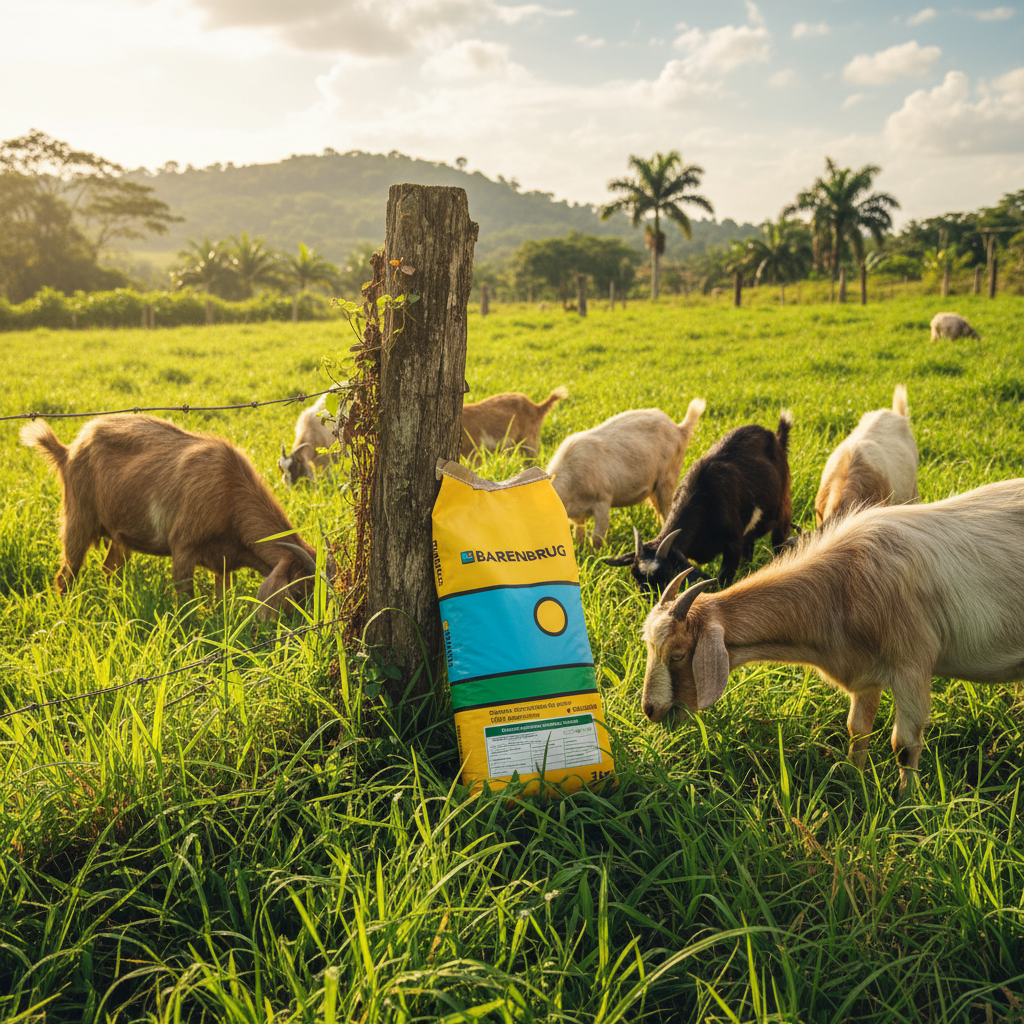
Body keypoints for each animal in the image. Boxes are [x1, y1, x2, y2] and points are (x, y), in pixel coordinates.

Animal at [21, 415, 335, 619]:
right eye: (299, 592)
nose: (316, 628)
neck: (229, 488)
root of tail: (67, 451)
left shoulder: (224, 563)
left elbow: (223, 599)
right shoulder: (183, 548)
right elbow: (185, 600)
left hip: (119, 535)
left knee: (110, 569)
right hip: (78, 518)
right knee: (66, 574)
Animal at [546, 398, 706, 549]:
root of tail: (679, 428)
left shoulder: (603, 498)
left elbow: (598, 535)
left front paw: (596, 554)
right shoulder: (579, 516)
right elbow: (579, 534)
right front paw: (581, 550)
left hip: (669, 475)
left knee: (668, 509)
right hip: (654, 487)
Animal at [606, 411, 792, 588]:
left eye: (665, 574)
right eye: (635, 574)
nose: (647, 598)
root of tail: (776, 438)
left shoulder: (733, 543)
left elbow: (724, 580)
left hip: (783, 507)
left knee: (779, 541)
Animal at [639, 477, 1024, 790]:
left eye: (678, 654)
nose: (650, 710)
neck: (843, 586)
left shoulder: (912, 666)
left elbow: (904, 745)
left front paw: (906, 803)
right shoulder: (867, 673)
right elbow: (857, 730)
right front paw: (855, 781)